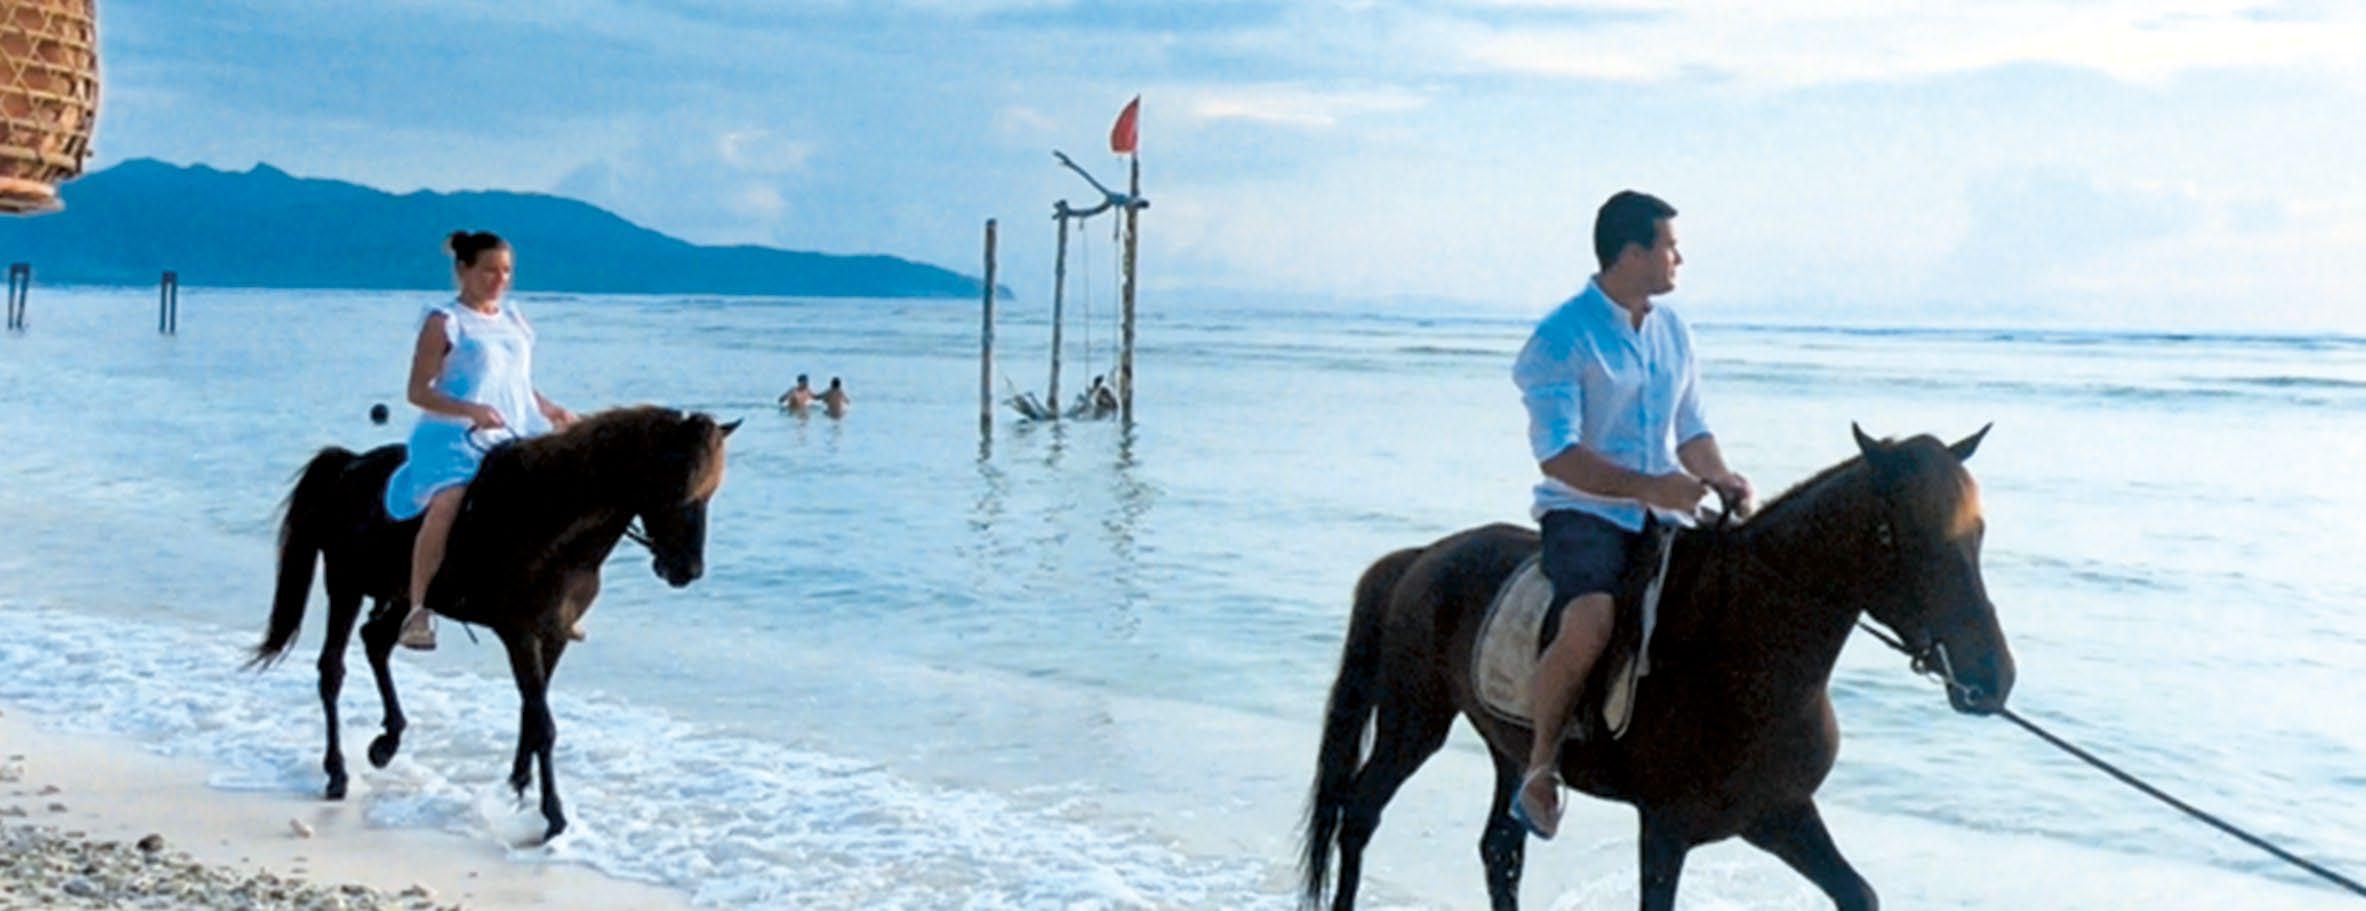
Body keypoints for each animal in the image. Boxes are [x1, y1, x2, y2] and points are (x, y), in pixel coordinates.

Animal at [249, 405, 739, 842]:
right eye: (677, 484)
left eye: (712, 491)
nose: (687, 569)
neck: (553, 523)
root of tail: (350, 464)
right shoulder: (518, 632)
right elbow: (543, 722)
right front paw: (553, 815)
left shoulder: (553, 634)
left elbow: (532, 712)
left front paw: (519, 786)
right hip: (345, 586)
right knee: (332, 669)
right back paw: (337, 773)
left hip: (401, 593)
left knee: (376, 642)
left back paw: (387, 742)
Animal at [1299, 425, 2015, 911]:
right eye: (1910, 540)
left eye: (1978, 533)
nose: (1994, 678)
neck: (1749, 654)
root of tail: (1421, 557)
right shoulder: (1666, 831)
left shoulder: (1779, 813)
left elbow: (1858, 893)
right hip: (1413, 721)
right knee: (1359, 814)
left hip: (1512, 747)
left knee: (1500, 848)